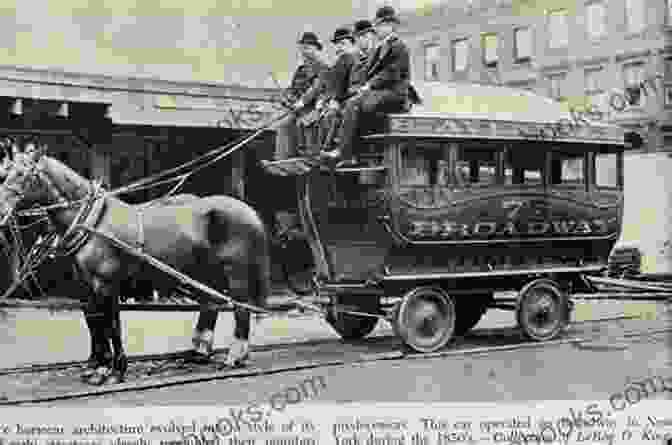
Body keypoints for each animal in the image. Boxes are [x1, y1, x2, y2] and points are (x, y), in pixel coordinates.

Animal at [0, 147, 270, 384]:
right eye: (6, 172)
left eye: (23, 174)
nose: (2, 211)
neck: (93, 222)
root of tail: (251, 212)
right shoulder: (85, 286)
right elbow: (94, 324)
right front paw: (95, 366)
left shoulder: (106, 284)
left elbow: (111, 325)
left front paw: (114, 370)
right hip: (205, 272)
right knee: (211, 304)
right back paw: (199, 353)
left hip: (236, 272)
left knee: (241, 308)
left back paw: (234, 357)